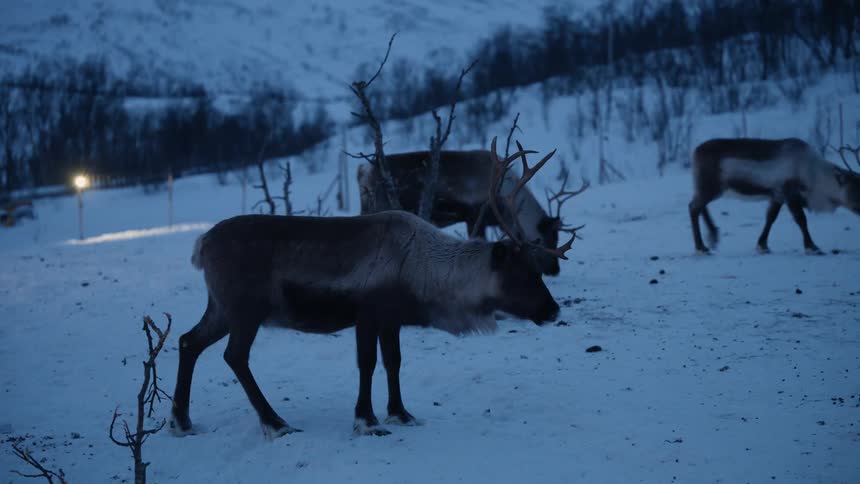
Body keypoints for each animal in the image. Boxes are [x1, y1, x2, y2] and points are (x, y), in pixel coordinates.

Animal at [689, 137, 860, 254]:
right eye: (855, 188)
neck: (815, 175)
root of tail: (695, 152)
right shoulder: (790, 193)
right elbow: (801, 220)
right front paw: (812, 246)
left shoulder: (777, 195)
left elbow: (771, 217)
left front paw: (762, 245)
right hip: (712, 187)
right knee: (694, 207)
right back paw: (701, 246)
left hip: (707, 188)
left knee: (700, 206)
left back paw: (712, 235)